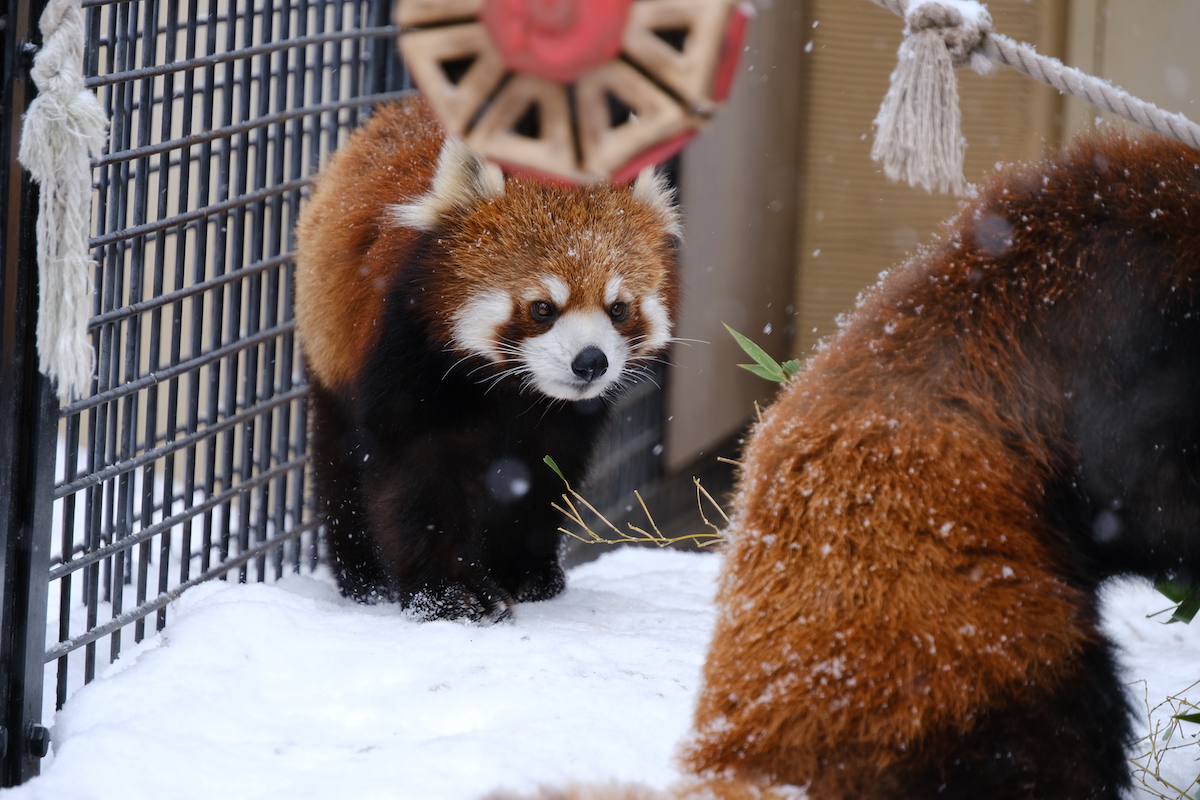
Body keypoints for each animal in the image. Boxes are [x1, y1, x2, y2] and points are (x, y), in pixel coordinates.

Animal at [291, 97, 681, 623]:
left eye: (618, 308)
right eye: (542, 308)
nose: (590, 362)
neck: (511, 390)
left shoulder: (564, 421)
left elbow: (541, 476)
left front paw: (525, 574)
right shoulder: (406, 364)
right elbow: (416, 478)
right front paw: (452, 596)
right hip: (329, 347)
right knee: (341, 465)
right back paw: (363, 580)